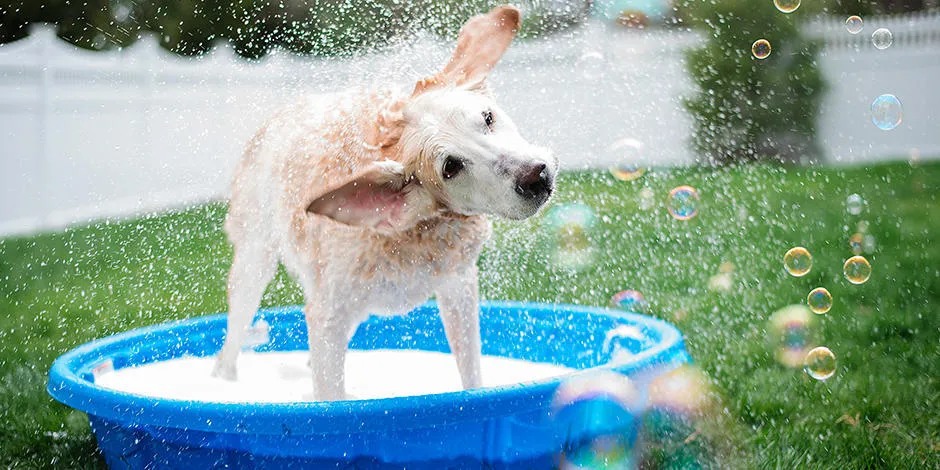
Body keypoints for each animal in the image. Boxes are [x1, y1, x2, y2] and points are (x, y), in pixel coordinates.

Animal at [209, 4, 556, 400]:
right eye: (450, 167)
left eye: (487, 117)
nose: (535, 176)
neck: (413, 232)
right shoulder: (328, 315)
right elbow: (331, 397)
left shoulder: (459, 289)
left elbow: (471, 373)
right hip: (254, 260)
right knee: (233, 340)